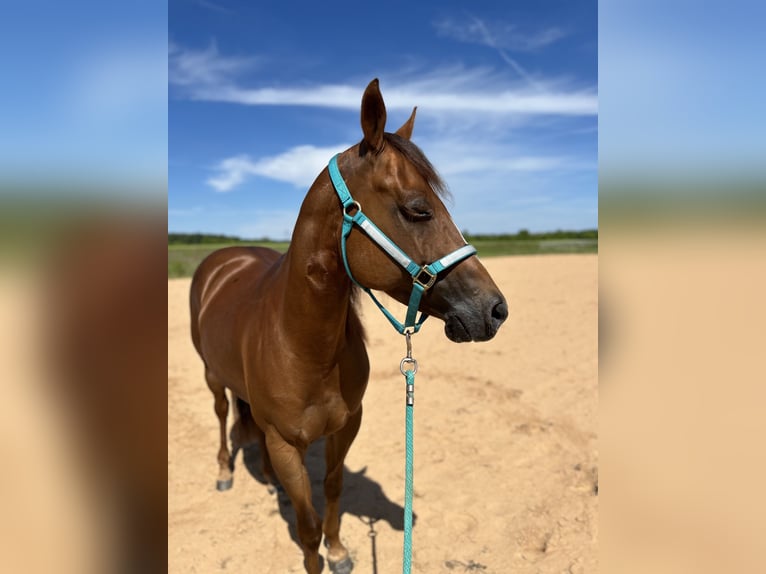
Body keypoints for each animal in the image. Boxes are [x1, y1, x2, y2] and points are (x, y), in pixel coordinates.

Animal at [190, 79, 508, 574]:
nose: (494, 309)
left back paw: (268, 480)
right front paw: (318, 553)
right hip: (210, 375)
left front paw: (339, 550)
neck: (302, 346)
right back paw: (225, 472)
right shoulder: (286, 443)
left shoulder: (345, 428)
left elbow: (333, 491)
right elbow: (306, 529)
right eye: (418, 209)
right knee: (223, 414)